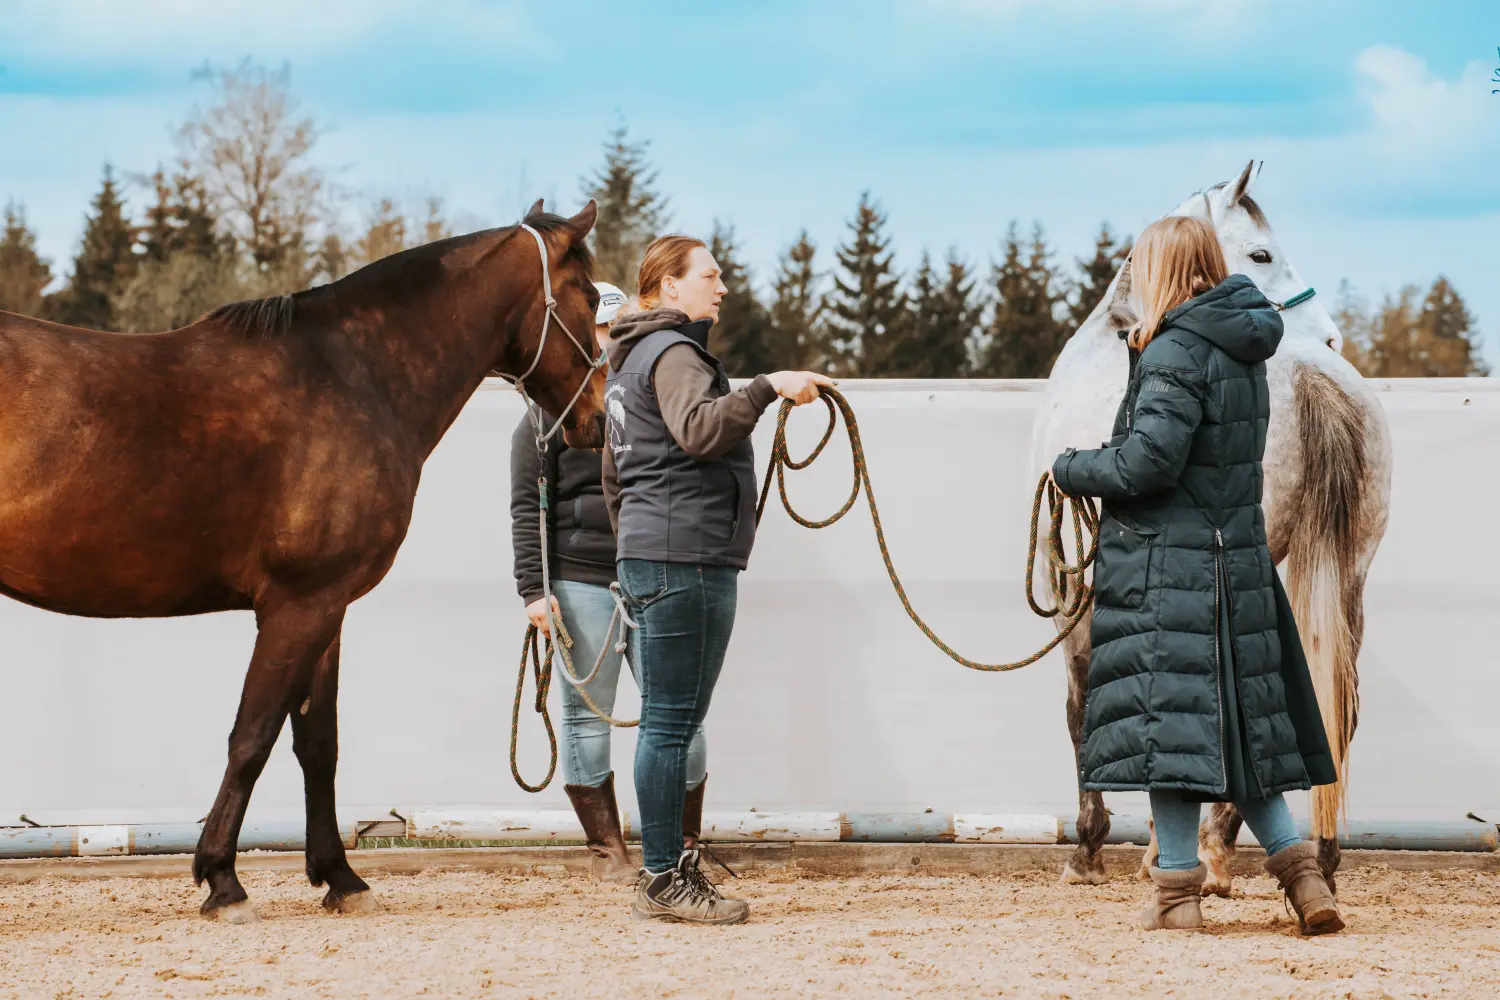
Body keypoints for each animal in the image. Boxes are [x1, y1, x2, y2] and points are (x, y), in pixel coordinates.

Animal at [0, 197, 603, 923]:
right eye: (591, 297)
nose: (597, 419)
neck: (354, 375)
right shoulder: (299, 602)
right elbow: (252, 737)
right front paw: (222, 881)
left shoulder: (328, 608)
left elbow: (318, 744)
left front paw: (339, 877)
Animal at [1032, 164, 1392, 899]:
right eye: (1261, 252)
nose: (1335, 338)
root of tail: (1314, 374)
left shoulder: (1071, 592)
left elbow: (1084, 705)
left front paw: (1090, 849)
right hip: (1349, 572)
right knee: (1332, 704)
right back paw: (1308, 858)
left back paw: (1215, 855)